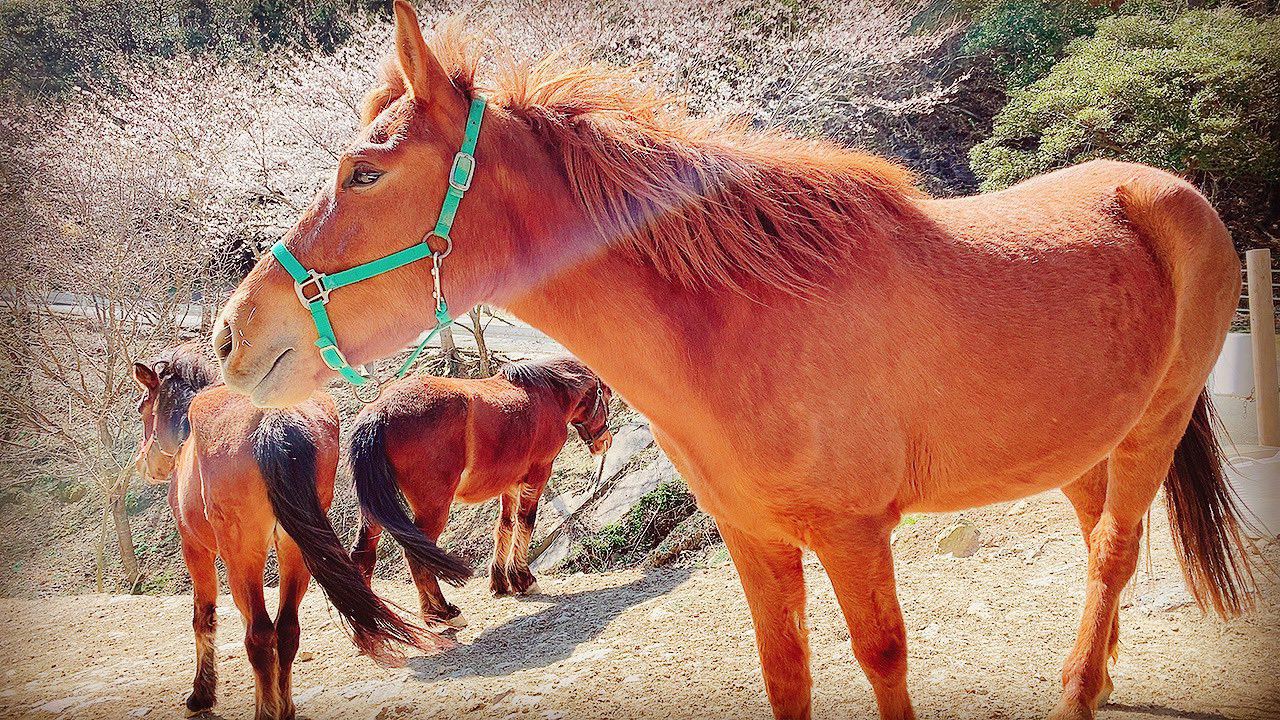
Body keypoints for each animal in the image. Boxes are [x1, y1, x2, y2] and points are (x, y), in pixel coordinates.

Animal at [132, 345, 452, 719]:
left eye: (143, 408)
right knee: (286, 629)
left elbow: (204, 617)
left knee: (258, 634)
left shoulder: (195, 548)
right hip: (296, 550)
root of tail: (272, 418)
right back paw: (283, 707)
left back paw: (266, 708)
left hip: (243, 554)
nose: (145, 465)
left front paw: (201, 695)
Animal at [348, 356, 612, 627]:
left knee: (363, 555)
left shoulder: (510, 484)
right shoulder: (538, 474)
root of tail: (379, 413)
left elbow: (505, 525)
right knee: (416, 555)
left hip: (374, 509)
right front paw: (523, 579)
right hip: (433, 509)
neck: (546, 392)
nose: (605, 442)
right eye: (607, 395)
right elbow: (525, 522)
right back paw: (444, 612)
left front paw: (502, 581)